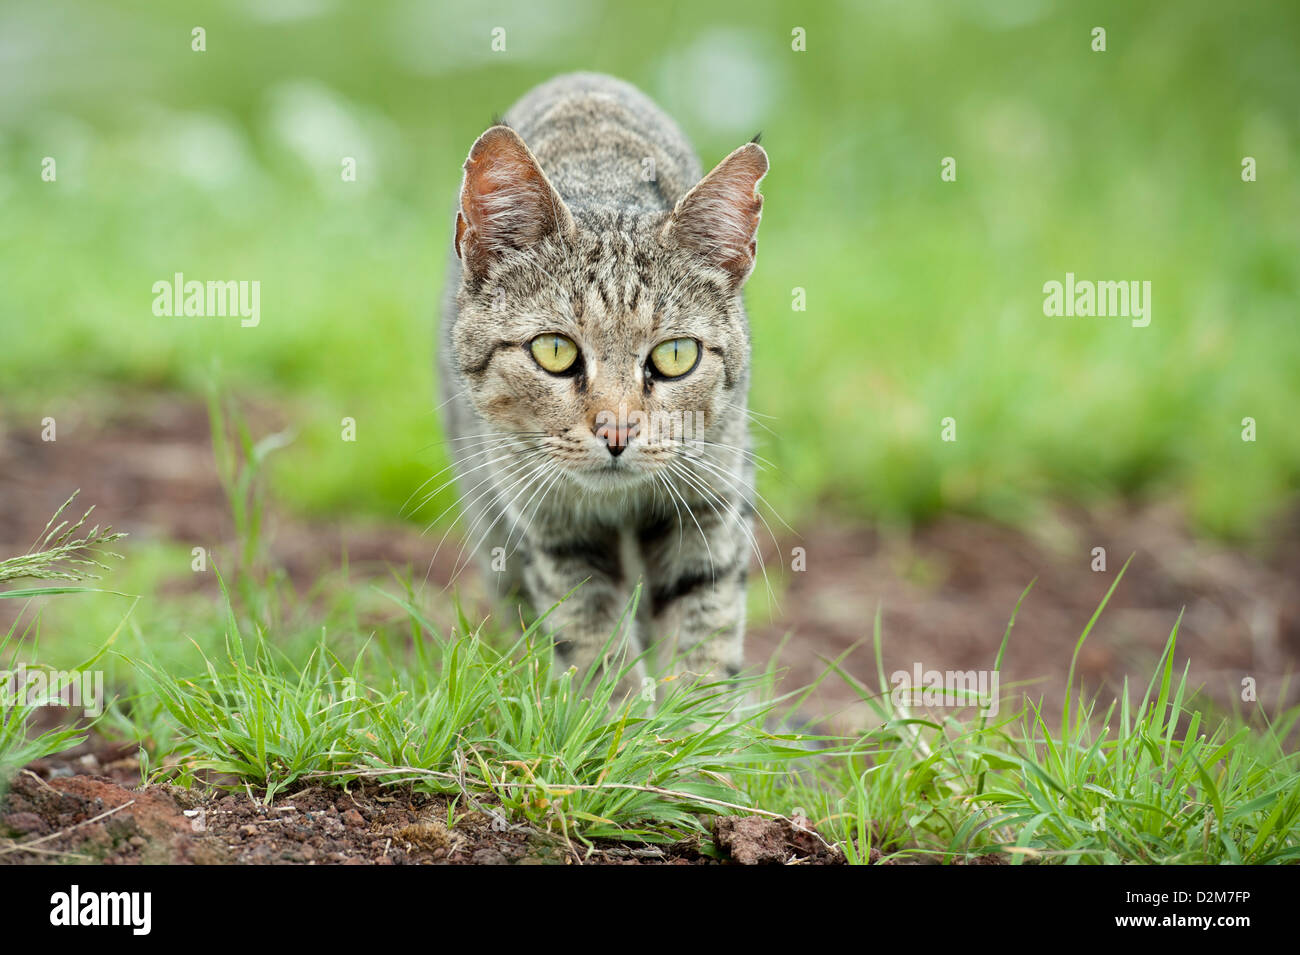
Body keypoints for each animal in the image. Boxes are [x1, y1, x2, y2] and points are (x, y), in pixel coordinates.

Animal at [439, 70, 759, 696]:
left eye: (676, 356)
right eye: (555, 352)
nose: (617, 431)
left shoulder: (708, 502)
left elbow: (706, 628)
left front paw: (699, 716)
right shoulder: (553, 527)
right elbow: (591, 638)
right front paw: (617, 714)